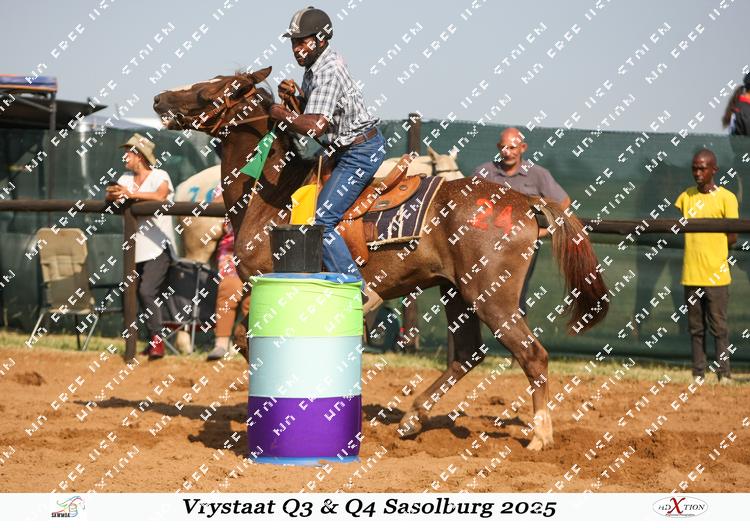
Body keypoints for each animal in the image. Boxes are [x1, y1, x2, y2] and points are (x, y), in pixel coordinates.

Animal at [153, 67, 609, 450]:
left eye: (212, 91)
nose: (159, 99)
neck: (272, 196)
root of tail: (525, 201)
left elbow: (249, 340)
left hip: (492, 297)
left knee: (532, 355)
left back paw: (540, 436)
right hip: (456, 293)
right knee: (468, 353)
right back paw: (413, 418)